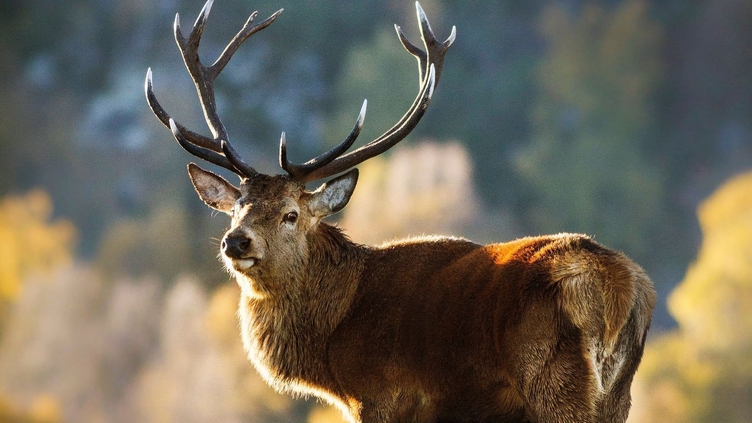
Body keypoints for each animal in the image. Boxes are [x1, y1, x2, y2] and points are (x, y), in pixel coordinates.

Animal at [145, 1, 656, 422]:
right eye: (237, 209)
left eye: (291, 214)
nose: (236, 242)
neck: (331, 341)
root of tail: (621, 289)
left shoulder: (382, 396)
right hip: (616, 397)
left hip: (554, 383)